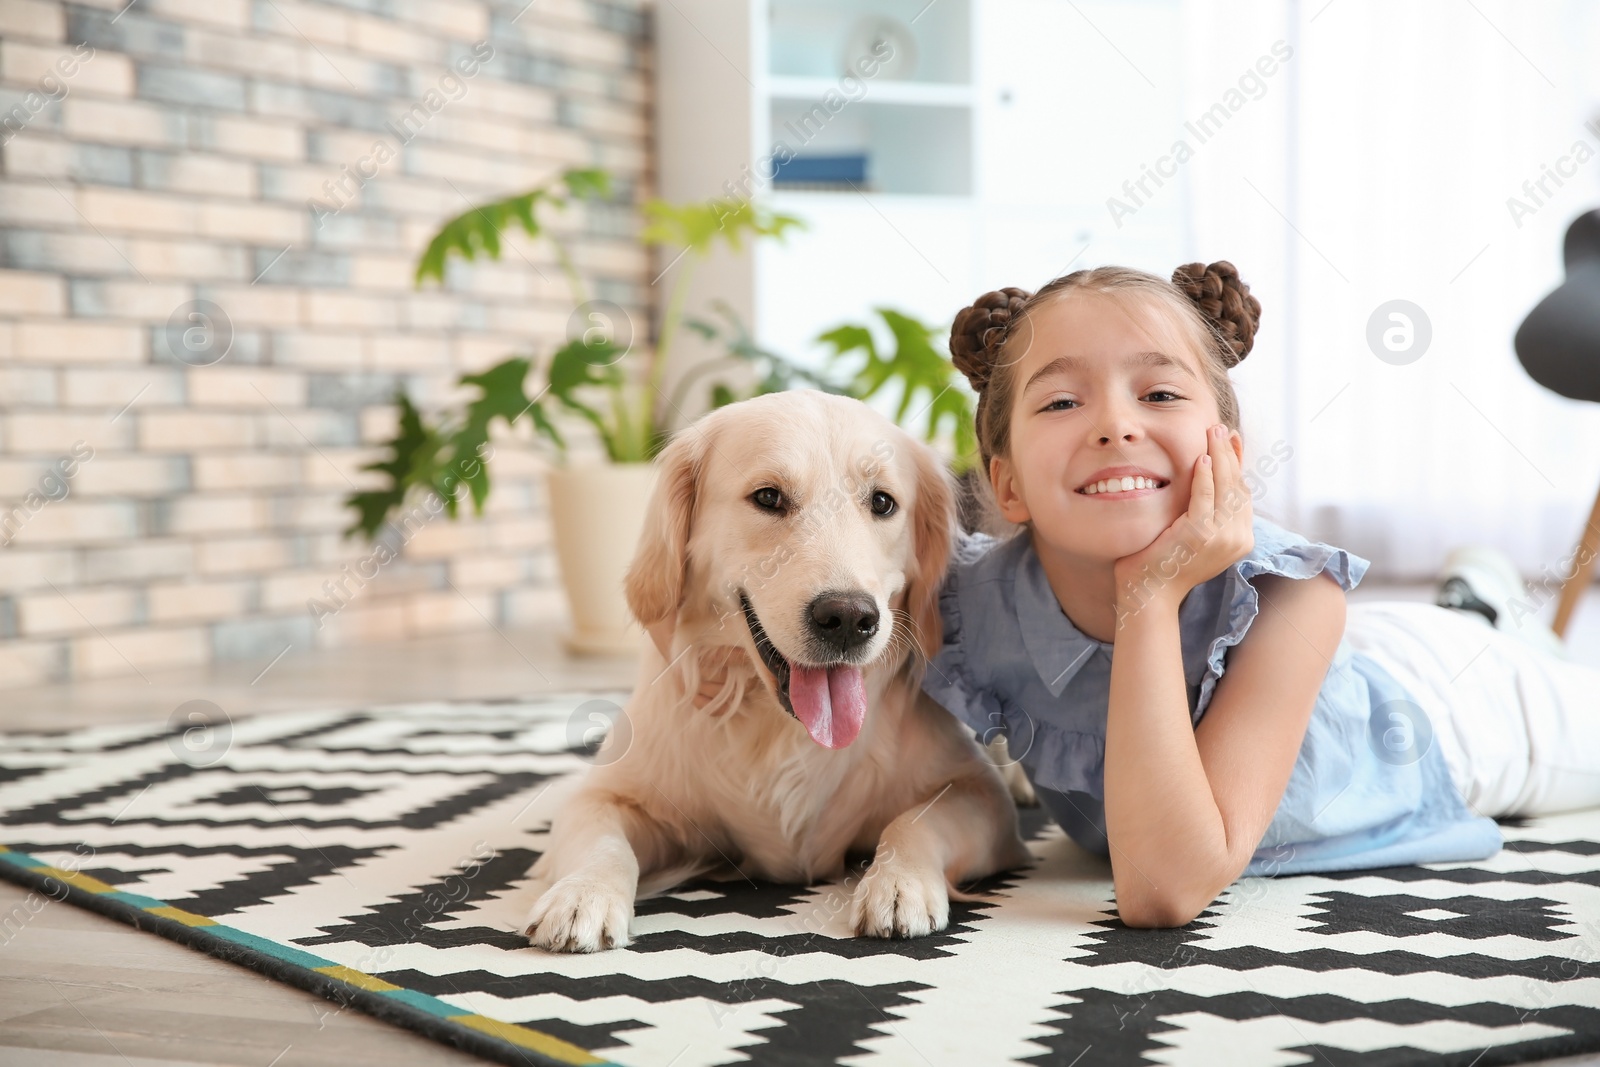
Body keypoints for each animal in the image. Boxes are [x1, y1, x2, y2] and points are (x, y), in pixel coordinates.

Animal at [518, 390, 1030, 953]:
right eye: (768, 497)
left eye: (882, 502)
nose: (848, 618)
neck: (781, 728)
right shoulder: (607, 792)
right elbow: (601, 837)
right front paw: (582, 894)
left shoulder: (980, 797)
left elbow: (913, 822)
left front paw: (900, 884)